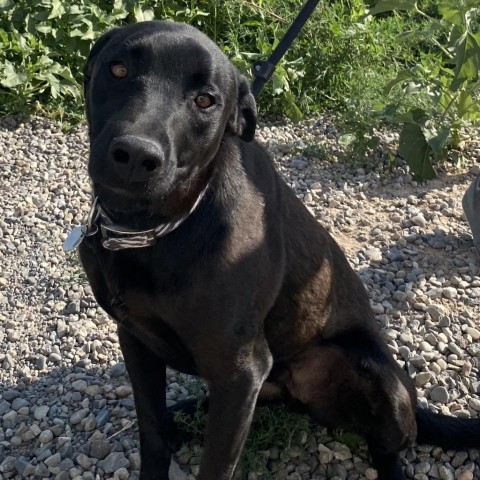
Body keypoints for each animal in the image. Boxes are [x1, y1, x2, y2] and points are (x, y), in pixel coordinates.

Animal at [79, 21, 480, 480]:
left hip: (380, 380)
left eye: (205, 100)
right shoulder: (136, 339)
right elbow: (152, 433)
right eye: (119, 69)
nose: (135, 155)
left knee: (390, 446)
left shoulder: (239, 371)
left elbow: (214, 466)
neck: (152, 229)